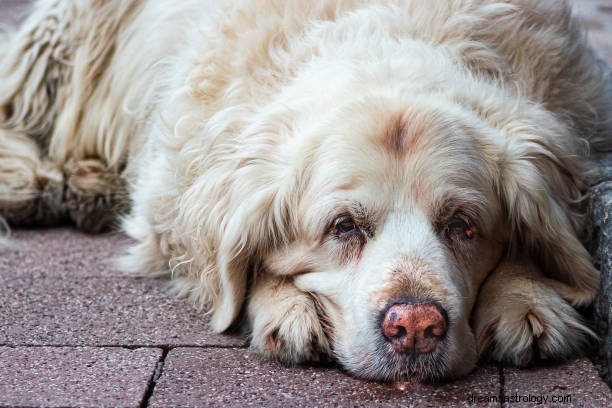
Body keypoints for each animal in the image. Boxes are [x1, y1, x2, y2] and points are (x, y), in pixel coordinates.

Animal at [1, 0, 612, 382]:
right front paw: (286, 306)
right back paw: (41, 179)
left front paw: (526, 297)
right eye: (343, 227)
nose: (415, 326)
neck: (387, 41)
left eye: (463, 225)